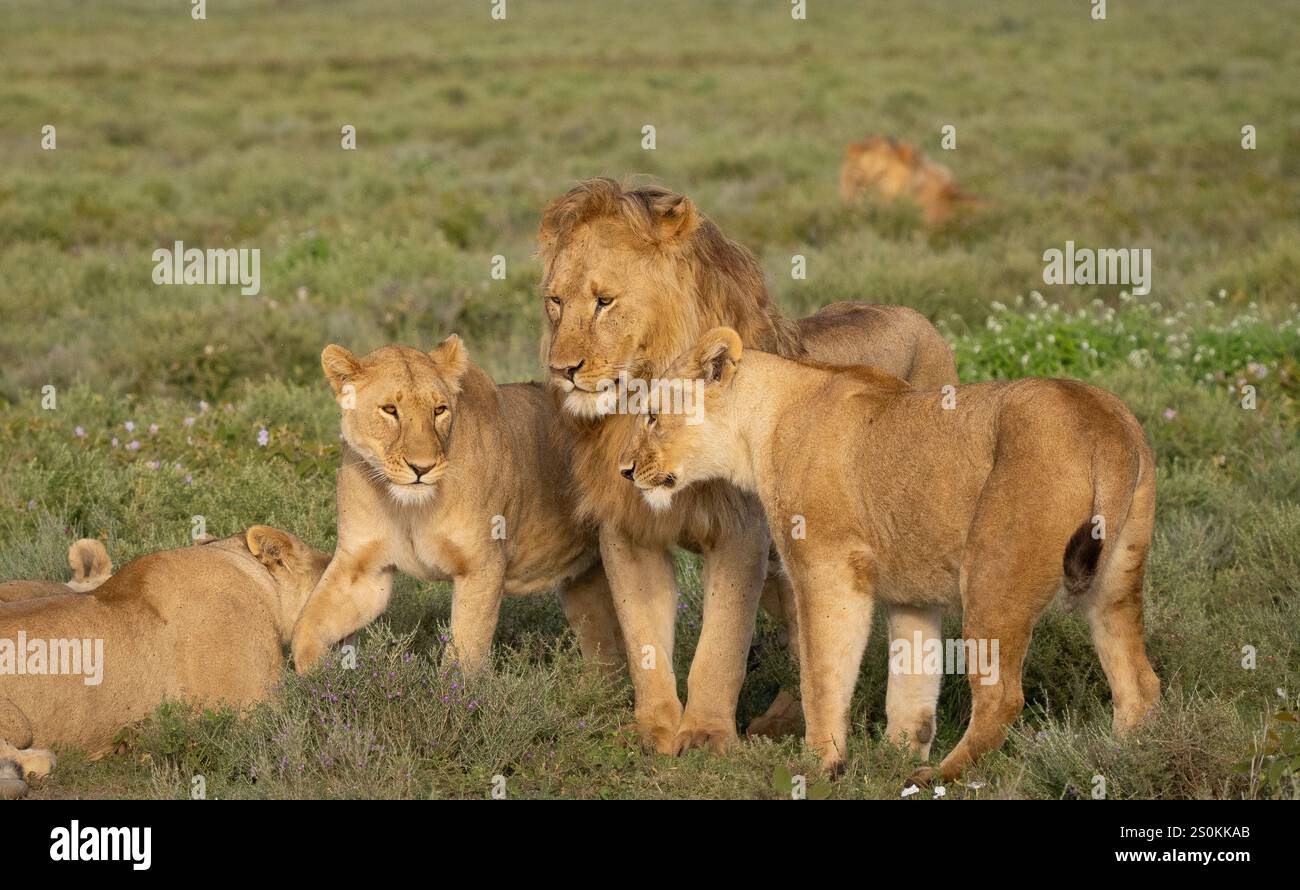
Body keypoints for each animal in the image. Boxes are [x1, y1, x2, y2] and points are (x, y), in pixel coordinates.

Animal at [289, 338, 624, 677]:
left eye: (439, 410)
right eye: (389, 410)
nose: (421, 468)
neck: (409, 509)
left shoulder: (480, 566)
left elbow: (465, 653)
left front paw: (453, 691)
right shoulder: (364, 570)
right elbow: (307, 626)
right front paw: (320, 679)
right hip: (585, 587)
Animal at [538, 177, 958, 755]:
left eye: (605, 302)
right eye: (555, 302)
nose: (562, 371)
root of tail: (917, 316)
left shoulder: (740, 532)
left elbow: (721, 644)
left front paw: (706, 736)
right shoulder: (629, 532)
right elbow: (644, 642)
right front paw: (654, 731)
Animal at [618, 327, 1162, 779]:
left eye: (652, 417)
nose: (624, 470)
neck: (762, 427)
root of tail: (1099, 419)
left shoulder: (827, 571)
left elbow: (820, 676)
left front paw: (819, 765)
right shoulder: (911, 596)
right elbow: (911, 685)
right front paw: (891, 755)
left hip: (993, 576)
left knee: (1003, 697)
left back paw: (938, 776)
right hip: (1116, 578)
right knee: (1139, 680)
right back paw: (1123, 758)